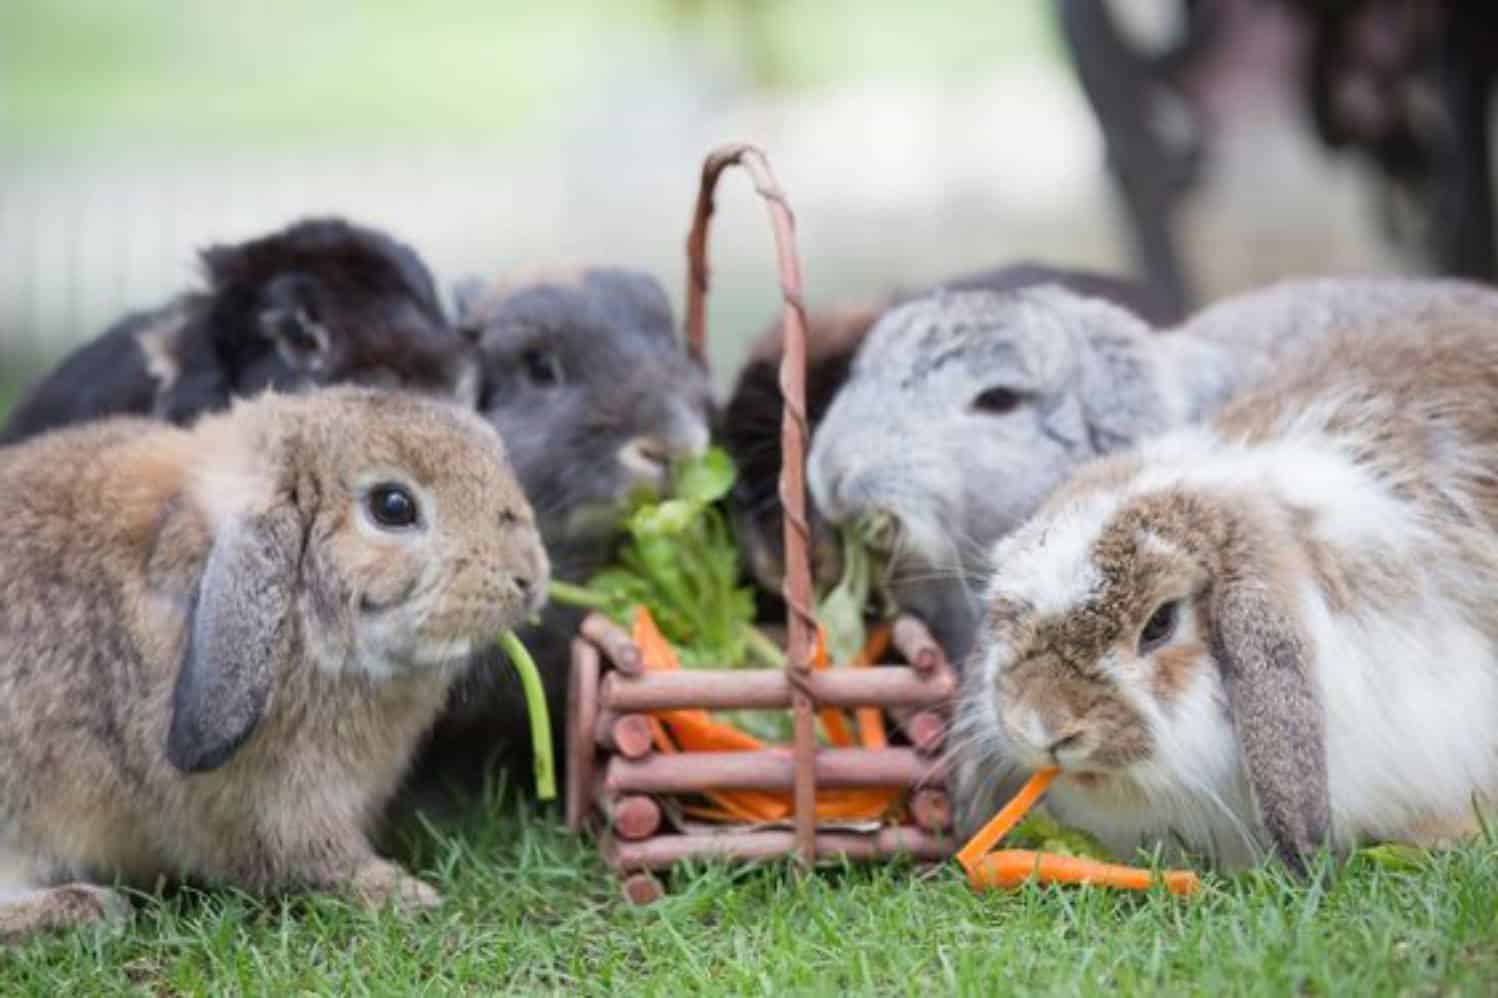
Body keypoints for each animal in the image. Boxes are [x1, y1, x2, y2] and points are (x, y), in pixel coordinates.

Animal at [0, 382, 551, 941]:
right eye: (393, 506)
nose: (529, 576)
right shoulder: (275, 807)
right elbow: (310, 862)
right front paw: (406, 895)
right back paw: (84, 907)